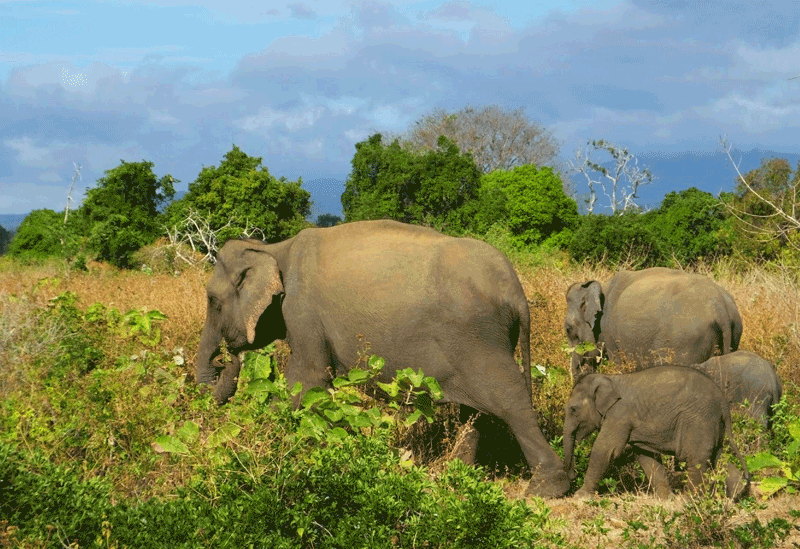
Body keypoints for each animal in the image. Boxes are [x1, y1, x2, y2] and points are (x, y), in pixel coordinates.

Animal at [194, 217, 568, 496]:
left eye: (213, 301)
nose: (226, 358)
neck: (273, 248)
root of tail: (517, 293)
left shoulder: (302, 312)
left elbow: (306, 382)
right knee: (476, 412)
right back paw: (456, 476)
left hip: (479, 338)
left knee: (511, 400)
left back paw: (545, 489)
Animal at [564, 366, 752, 498]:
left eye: (573, 410)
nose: (571, 477)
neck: (609, 378)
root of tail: (723, 402)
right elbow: (646, 457)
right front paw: (666, 499)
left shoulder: (619, 416)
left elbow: (605, 449)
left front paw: (580, 497)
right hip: (716, 424)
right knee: (716, 458)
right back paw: (736, 495)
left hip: (699, 420)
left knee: (697, 459)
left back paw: (689, 501)